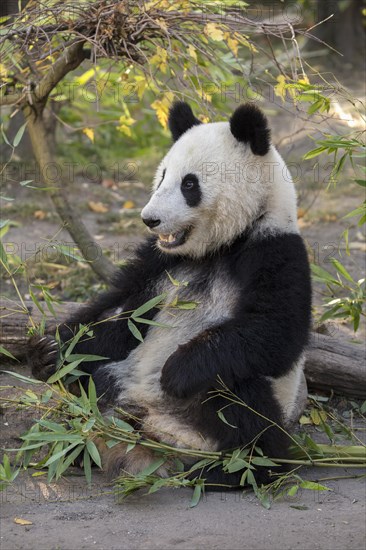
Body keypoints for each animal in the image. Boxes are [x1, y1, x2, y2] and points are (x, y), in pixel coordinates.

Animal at [27, 101, 312, 490]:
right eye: (162, 176)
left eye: (189, 184)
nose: (150, 219)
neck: (216, 248)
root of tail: (161, 437)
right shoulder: (158, 263)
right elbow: (122, 316)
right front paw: (50, 351)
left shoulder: (274, 249)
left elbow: (276, 331)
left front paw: (176, 370)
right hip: (116, 383)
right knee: (91, 381)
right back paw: (77, 441)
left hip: (244, 407)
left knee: (239, 401)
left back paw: (237, 470)